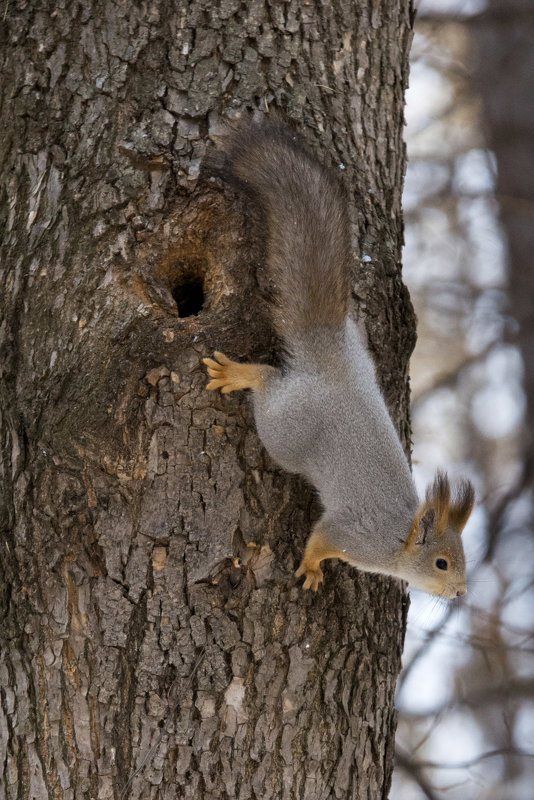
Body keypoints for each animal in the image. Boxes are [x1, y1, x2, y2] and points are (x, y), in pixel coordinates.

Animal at [202, 115, 478, 596]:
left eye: (464, 561)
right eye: (442, 563)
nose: (461, 592)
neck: (397, 537)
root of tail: (329, 356)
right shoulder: (352, 535)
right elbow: (320, 540)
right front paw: (312, 569)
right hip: (285, 429)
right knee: (268, 384)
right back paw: (239, 374)